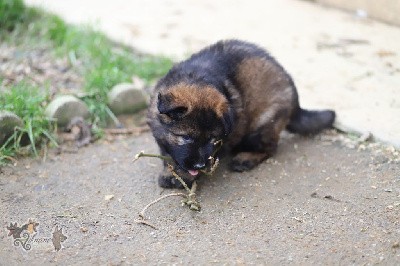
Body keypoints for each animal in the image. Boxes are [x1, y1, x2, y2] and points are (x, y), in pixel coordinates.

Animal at [147, 40, 334, 189]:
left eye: (213, 140)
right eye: (185, 137)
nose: (200, 165)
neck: (195, 77)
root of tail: (296, 101)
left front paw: (184, 177)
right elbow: (168, 155)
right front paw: (171, 172)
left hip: (263, 125)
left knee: (271, 148)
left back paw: (245, 159)